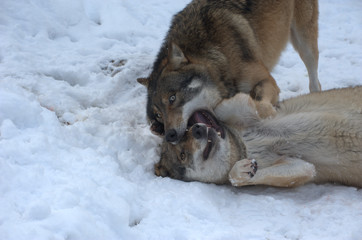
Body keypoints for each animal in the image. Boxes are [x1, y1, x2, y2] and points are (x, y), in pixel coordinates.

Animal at [138, 0, 320, 144]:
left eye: (172, 98)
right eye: (158, 115)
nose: (169, 135)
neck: (219, 55)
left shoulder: (267, 80)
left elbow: (261, 104)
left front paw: (268, 115)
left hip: (305, 43)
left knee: (315, 81)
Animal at [157, 86, 362, 188]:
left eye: (187, 131)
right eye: (182, 155)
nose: (198, 129)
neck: (246, 145)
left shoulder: (253, 110)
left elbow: (222, 106)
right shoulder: (304, 168)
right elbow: (235, 178)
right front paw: (242, 170)